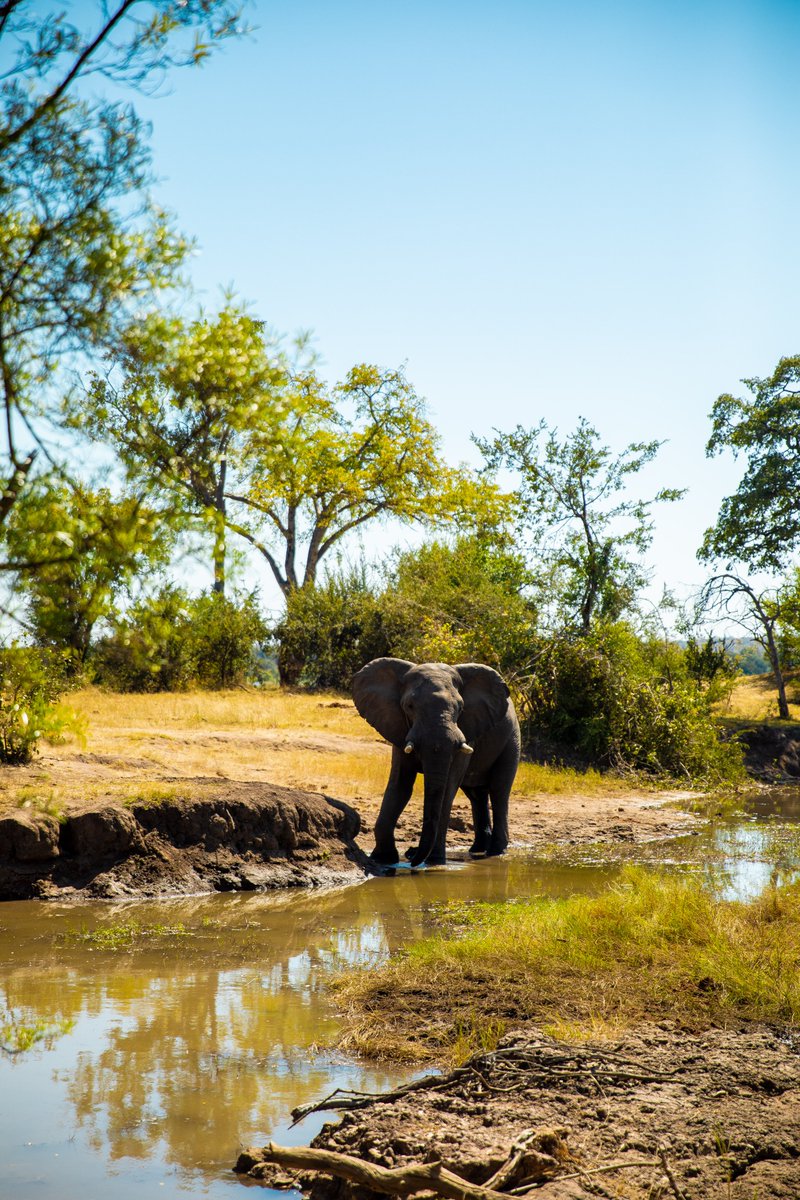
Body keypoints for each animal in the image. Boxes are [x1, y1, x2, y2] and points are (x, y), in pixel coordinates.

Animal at [352, 657, 522, 864]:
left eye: (460, 708)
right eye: (409, 706)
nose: (411, 855)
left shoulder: (466, 730)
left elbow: (448, 788)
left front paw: (435, 861)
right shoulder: (399, 727)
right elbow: (400, 784)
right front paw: (383, 859)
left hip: (512, 739)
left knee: (499, 790)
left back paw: (496, 852)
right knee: (476, 794)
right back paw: (477, 849)